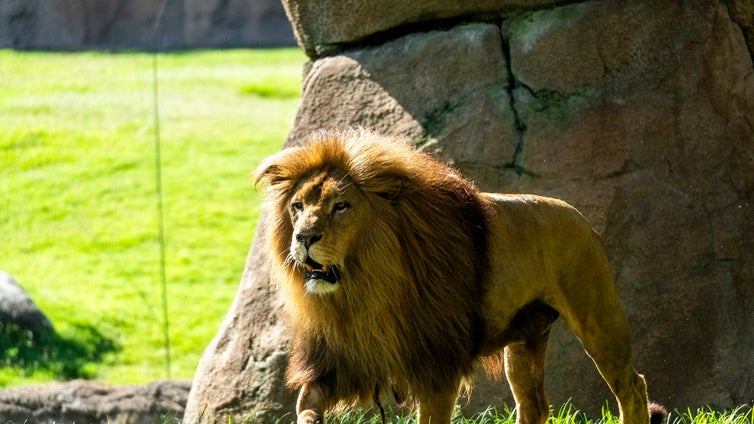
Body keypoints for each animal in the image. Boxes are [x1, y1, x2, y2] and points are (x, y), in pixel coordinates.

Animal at [254, 129, 664, 424]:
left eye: (341, 206)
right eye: (297, 206)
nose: (303, 238)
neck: (364, 286)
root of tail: (581, 218)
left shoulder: (438, 366)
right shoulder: (338, 360)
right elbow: (306, 405)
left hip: (599, 321)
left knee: (632, 387)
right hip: (521, 343)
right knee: (533, 405)